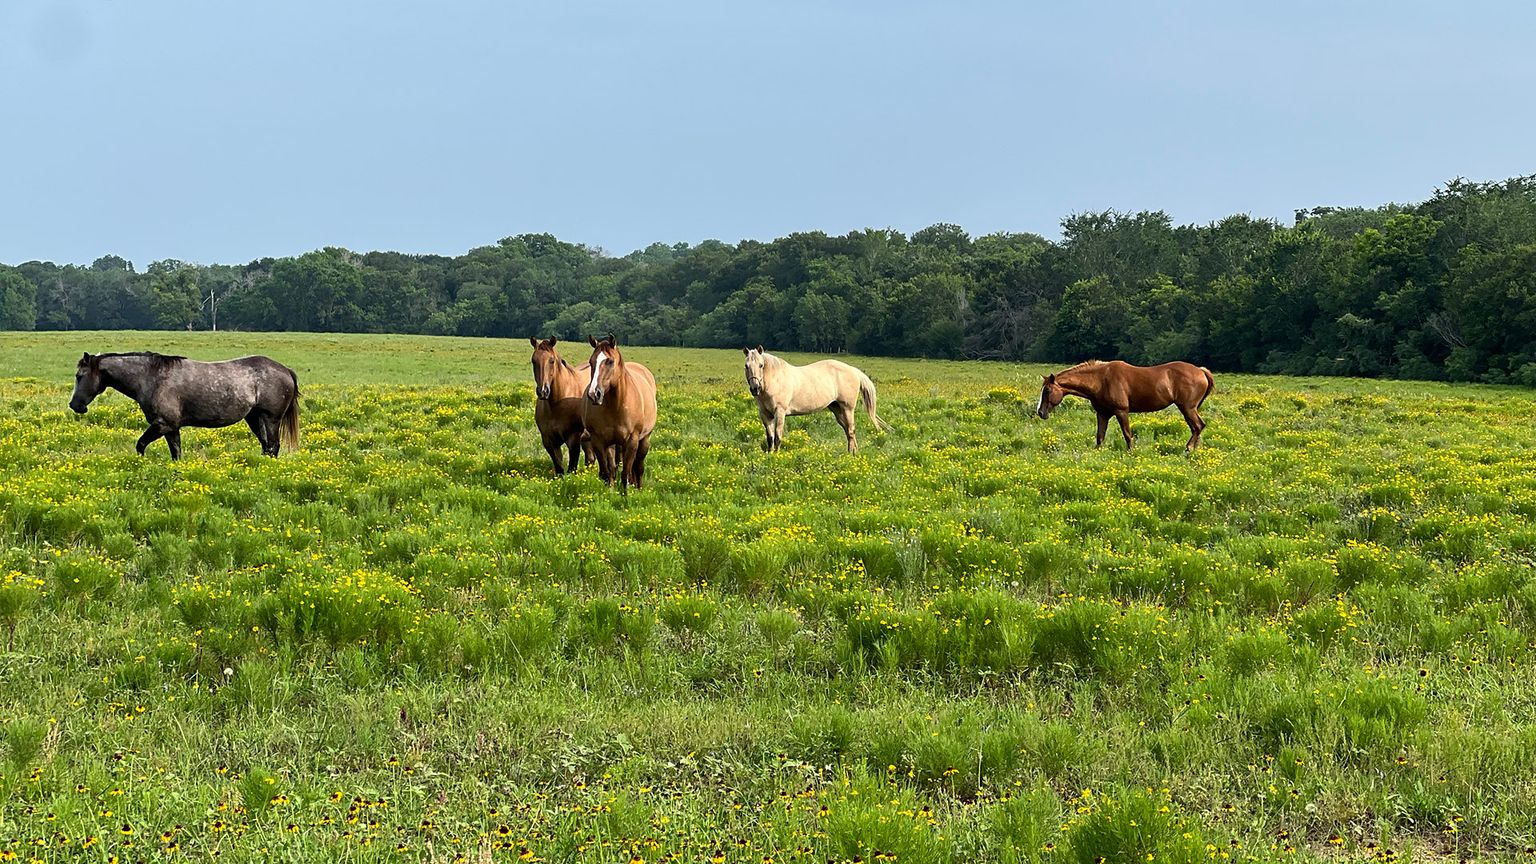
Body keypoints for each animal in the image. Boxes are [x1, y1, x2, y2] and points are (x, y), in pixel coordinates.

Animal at [69, 351, 300, 459]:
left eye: (80, 376)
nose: (75, 405)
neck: (152, 378)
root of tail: (285, 370)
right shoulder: (171, 428)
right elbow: (176, 454)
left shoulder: (162, 424)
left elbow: (141, 445)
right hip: (254, 418)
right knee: (267, 447)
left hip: (271, 419)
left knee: (273, 446)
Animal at [529, 337, 597, 475]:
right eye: (533, 361)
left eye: (552, 361)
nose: (543, 391)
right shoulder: (549, 441)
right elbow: (559, 468)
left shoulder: (573, 439)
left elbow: (571, 468)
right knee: (590, 459)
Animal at [582, 335, 657, 491]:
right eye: (591, 362)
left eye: (610, 361)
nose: (594, 394)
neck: (615, 406)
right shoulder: (598, 441)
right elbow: (606, 472)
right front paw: (609, 491)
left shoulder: (632, 440)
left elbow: (626, 473)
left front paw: (625, 494)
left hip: (644, 439)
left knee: (639, 467)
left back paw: (639, 488)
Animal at [742, 346, 891, 453]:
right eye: (746, 366)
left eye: (761, 365)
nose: (755, 388)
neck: (775, 380)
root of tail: (853, 370)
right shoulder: (765, 414)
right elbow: (770, 437)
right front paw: (770, 455)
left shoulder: (780, 411)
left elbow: (778, 436)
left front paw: (777, 455)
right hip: (836, 409)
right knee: (847, 431)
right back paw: (853, 452)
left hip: (848, 408)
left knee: (851, 430)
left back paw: (852, 454)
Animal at [1035, 359, 1214, 451]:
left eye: (1047, 391)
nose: (1040, 412)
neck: (1101, 380)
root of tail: (1201, 371)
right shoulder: (1102, 413)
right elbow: (1100, 437)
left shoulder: (1121, 412)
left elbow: (1127, 435)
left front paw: (1131, 452)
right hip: (1188, 409)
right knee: (1196, 428)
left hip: (1187, 408)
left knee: (1198, 426)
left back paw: (1188, 448)